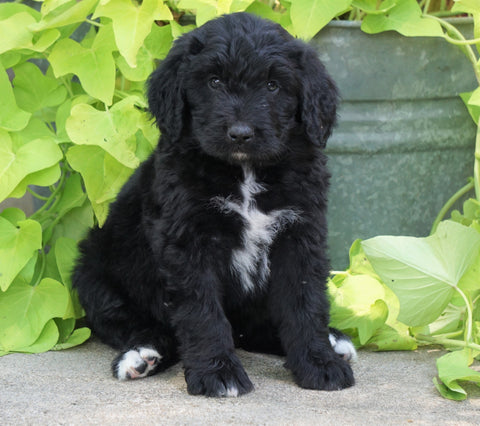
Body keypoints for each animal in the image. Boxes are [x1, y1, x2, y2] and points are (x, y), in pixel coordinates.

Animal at [73, 11, 354, 396]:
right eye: (214, 82)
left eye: (273, 86)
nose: (240, 133)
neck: (245, 172)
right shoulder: (189, 241)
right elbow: (201, 313)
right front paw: (218, 373)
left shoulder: (300, 234)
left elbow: (305, 304)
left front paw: (319, 362)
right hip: (94, 272)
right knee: (137, 323)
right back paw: (141, 356)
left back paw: (334, 341)